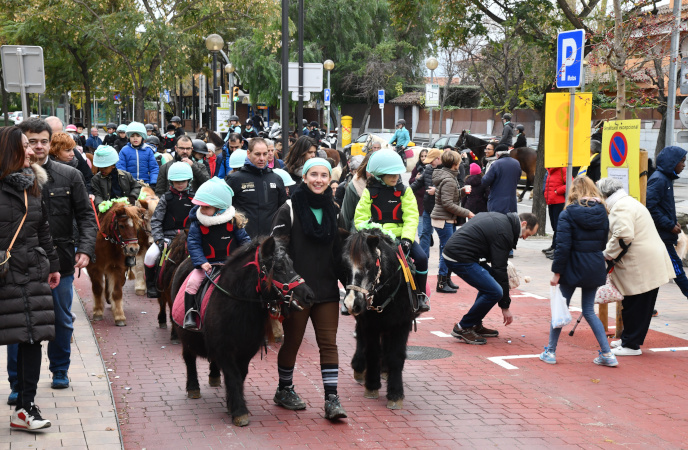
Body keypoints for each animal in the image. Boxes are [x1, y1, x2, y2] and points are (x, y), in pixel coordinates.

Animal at [173, 237, 314, 428]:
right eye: (278, 267)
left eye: (291, 263)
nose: (309, 295)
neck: (237, 305)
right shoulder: (225, 350)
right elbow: (233, 376)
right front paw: (239, 412)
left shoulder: (246, 350)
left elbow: (240, 375)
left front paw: (232, 405)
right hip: (185, 336)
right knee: (189, 358)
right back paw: (193, 387)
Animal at [342, 230, 416, 410]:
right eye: (345, 266)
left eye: (369, 265)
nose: (351, 304)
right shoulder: (370, 324)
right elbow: (372, 352)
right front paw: (372, 385)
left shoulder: (401, 324)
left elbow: (395, 356)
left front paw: (395, 394)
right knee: (361, 339)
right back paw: (360, 367)